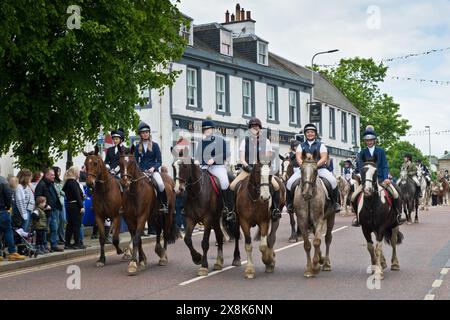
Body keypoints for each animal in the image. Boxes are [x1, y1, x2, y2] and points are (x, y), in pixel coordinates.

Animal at [119, 146, 160, 274]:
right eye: (120, 163)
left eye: (132, 162)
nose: (125, 183)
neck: (134, 192)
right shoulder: (129, 219)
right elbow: (137, 238)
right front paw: (141, 260)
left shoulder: (142, 216)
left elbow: (136, 238)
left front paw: (133, 263)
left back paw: (163, 256)